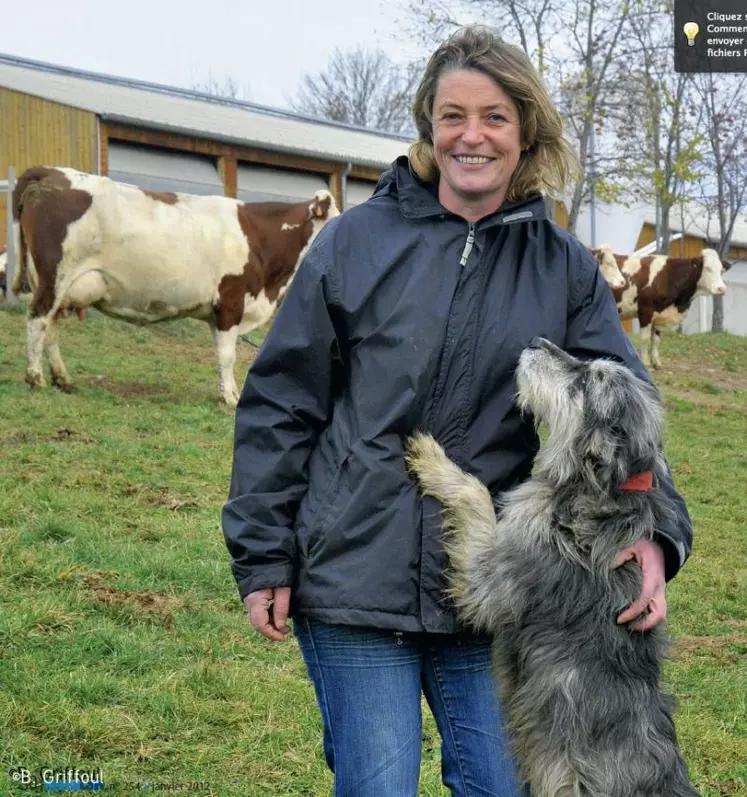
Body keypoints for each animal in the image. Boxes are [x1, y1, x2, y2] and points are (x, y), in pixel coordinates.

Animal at [12, 166, 338, 404]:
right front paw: (231, 398)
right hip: (55, 275)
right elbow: (228, 354)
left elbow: (222, 354)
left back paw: (63, 379)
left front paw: (227, 392)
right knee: (38, 319)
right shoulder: (231, 301)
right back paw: (35, 377)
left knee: (50, 327)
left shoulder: (218, 311)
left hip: (61, 286)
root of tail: (51, 172)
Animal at [406, 338, 700, 796]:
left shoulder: (489, 581)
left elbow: (476, 493)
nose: (537, 342)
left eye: (584, 382)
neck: (589, 494)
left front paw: (434, 460)